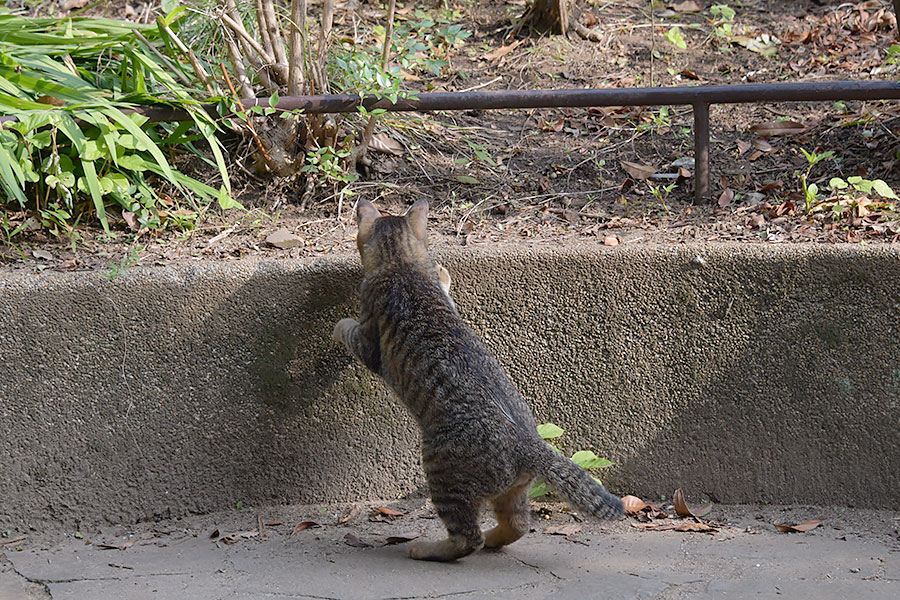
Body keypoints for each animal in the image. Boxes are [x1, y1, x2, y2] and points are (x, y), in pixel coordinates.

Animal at [334, 199, 624, 560]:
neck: (403, 266)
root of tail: (528, 444)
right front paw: (443, 274)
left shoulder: (369, 342)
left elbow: (348, 329)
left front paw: (337, 327)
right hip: (511, 491)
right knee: (516, 525)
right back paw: (493, 539)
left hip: (441, 472)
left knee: (466, 539)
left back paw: (426, 548)